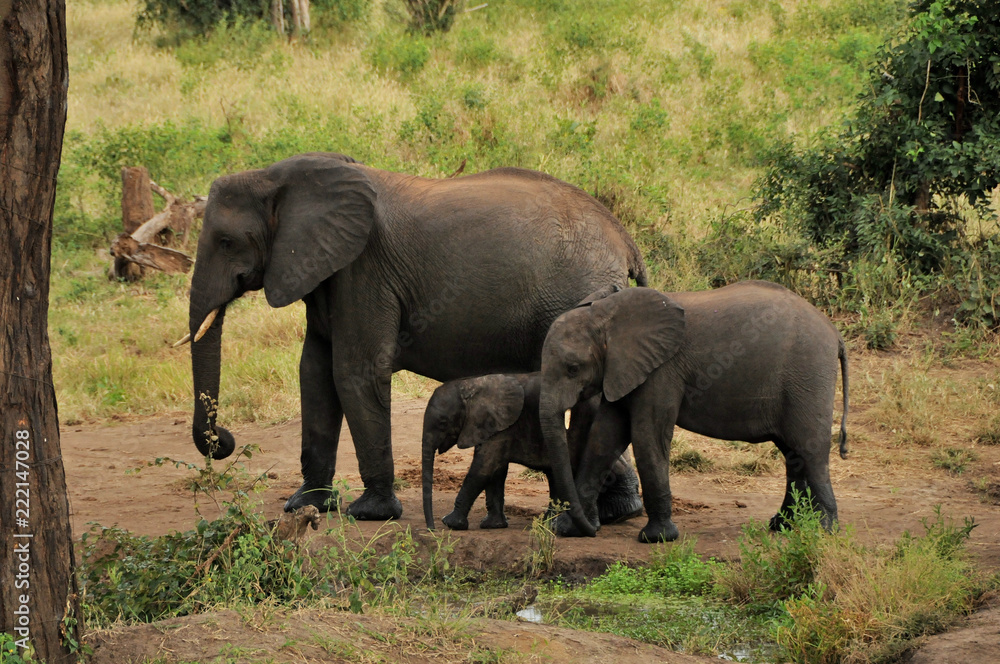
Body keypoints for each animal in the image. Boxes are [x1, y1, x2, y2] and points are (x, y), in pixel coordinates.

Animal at [421, 372, 640, 531]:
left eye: (443, 423)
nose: (431, 529)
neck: (471, 385)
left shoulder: (503, 427)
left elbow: (483, 468)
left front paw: (450, 523)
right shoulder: (496, 428)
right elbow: (496, 471)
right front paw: (493, 525)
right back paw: (552, 522)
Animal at [537, 281, 849, 542]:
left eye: (573, 368)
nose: (594, 532)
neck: (607, 314)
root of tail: (835, 333)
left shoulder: (661, 371)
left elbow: (647, 435)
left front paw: (656, 538)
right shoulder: (622, 369)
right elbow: (604, 437)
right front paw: (568, 530)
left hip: (809, 374)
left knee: (810, 450)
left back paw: (824, 530)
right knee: (793, 454)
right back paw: (784, 525)